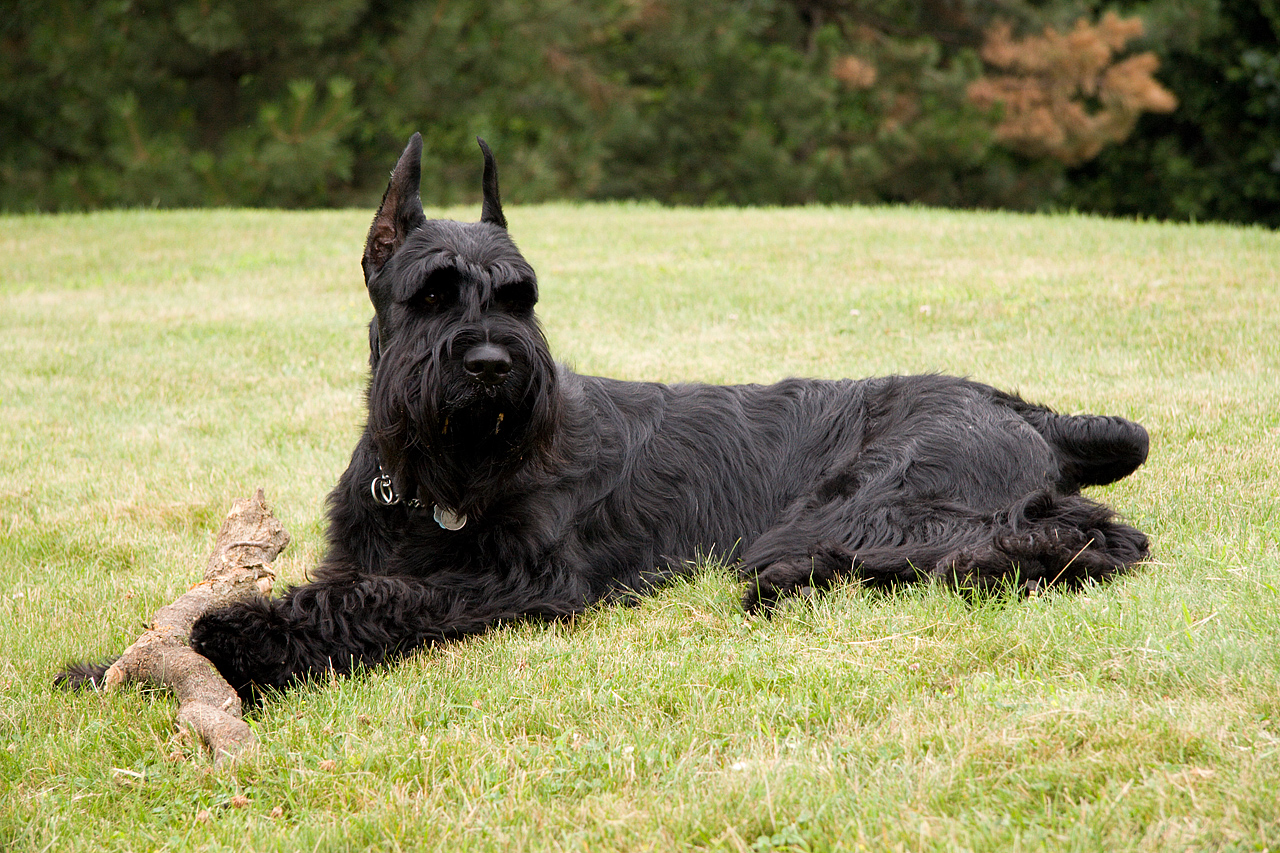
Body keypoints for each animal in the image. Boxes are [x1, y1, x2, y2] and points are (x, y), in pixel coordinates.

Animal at [64, 134, 1157, 696]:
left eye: (521, 296)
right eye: (433, 293)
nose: (495, 365)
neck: (434, 478)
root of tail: (1026, 410)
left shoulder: (518, 576)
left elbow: (372, 602)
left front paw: (234, 644)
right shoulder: (366, 549)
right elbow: (338, 585)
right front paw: (107, 663)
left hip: (873, 506)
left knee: (1083, 537)